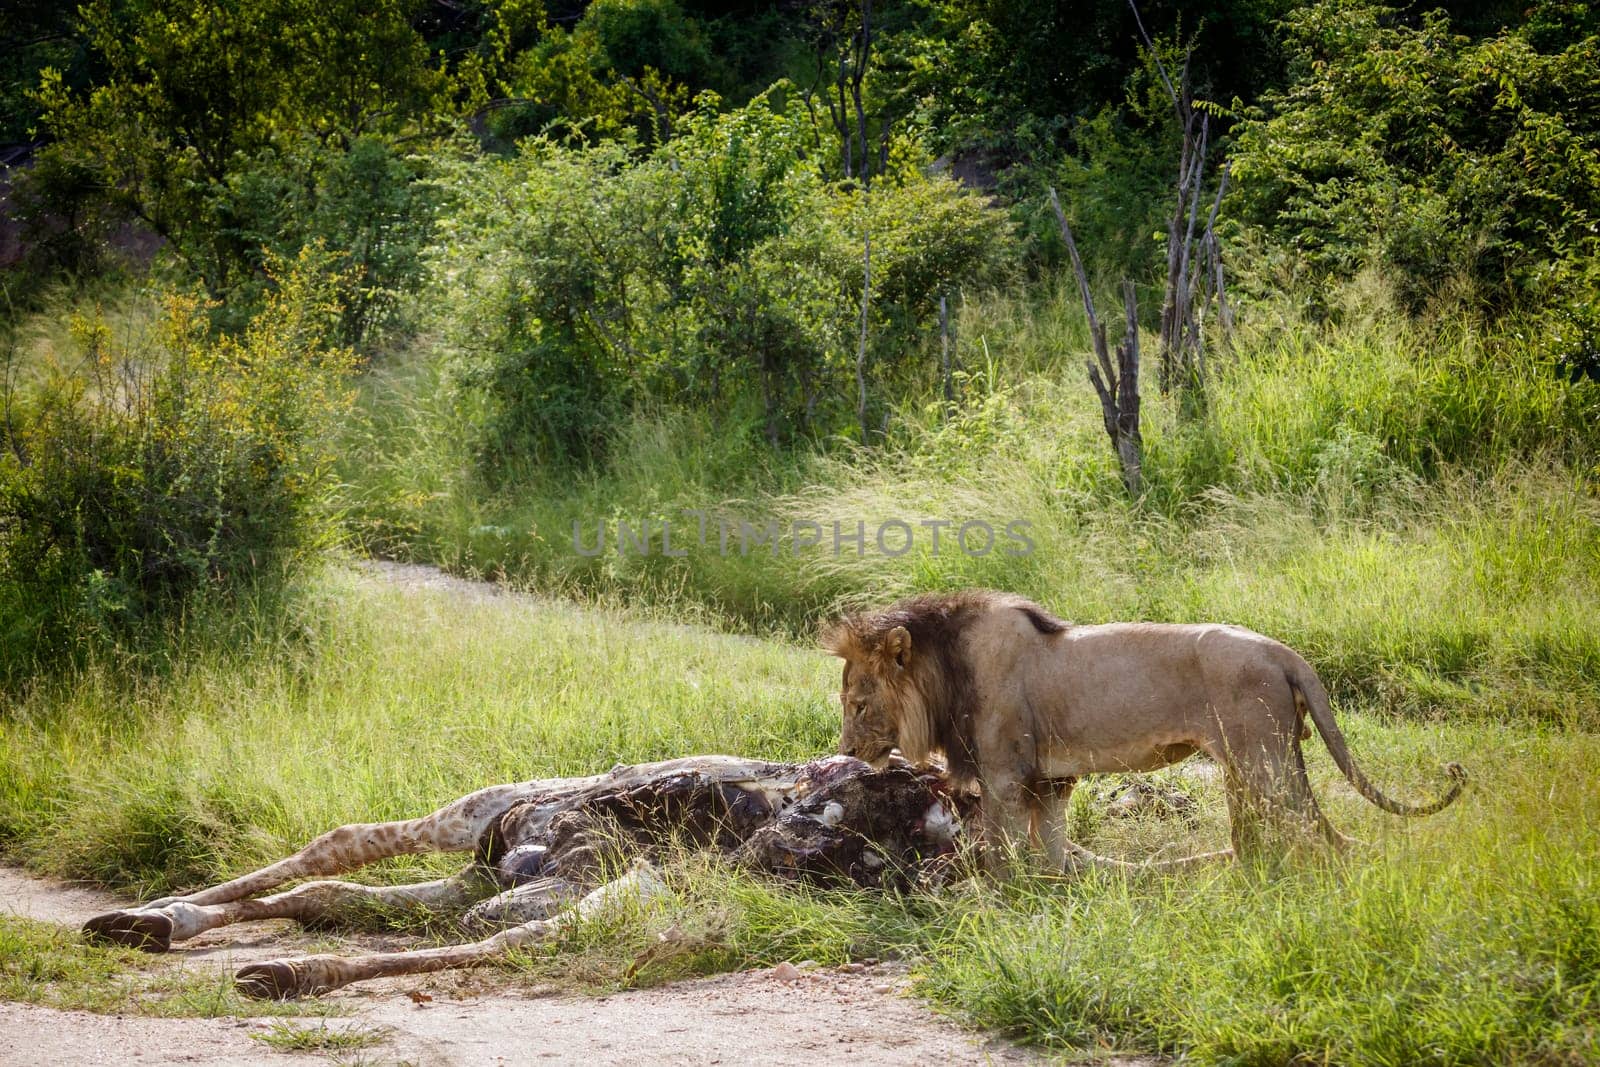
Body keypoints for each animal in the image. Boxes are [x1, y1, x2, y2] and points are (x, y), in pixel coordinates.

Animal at [832, 588, 1465, 870]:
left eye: (858, 705)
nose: (847, 749)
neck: (944, 672)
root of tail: (1282, 651)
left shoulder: (1005, 776)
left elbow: (1003, 850)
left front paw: (1001, 902)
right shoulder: (1048, 780)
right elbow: (1050, 845)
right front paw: (1053, 891)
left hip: (1266, 763)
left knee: (1314, 831)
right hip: (1248, 767)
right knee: (1259, 837)